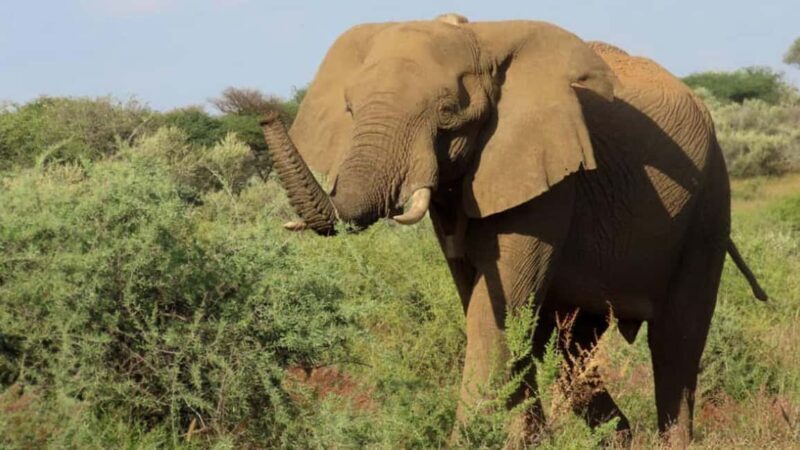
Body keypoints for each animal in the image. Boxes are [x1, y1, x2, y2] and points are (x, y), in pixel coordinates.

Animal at [259, 14, 768, 444]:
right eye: (349, 109)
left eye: (448, 112)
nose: (264, 114)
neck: (480, 37)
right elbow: (492, 306)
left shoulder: (546, 175)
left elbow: (496, 313)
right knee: (570, 352)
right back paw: (619, 436)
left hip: (708, 205)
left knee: (675, 344)